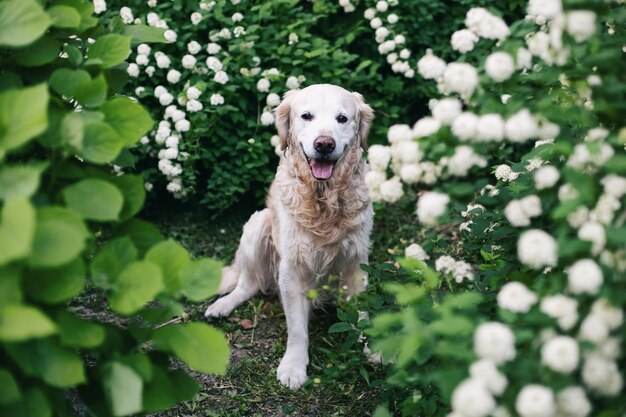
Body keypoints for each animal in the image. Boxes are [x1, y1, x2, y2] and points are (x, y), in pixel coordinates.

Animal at [204, 83, 370, 388]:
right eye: (306, 116)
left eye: (342, 119)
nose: (324, 144)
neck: (323, 201)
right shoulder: (292, 269)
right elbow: (297, 329)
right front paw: (294, 367)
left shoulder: (356, 261)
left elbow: (364, 312)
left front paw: (374, 348)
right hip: (257, 226)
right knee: (248, 284)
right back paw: (222, 306)